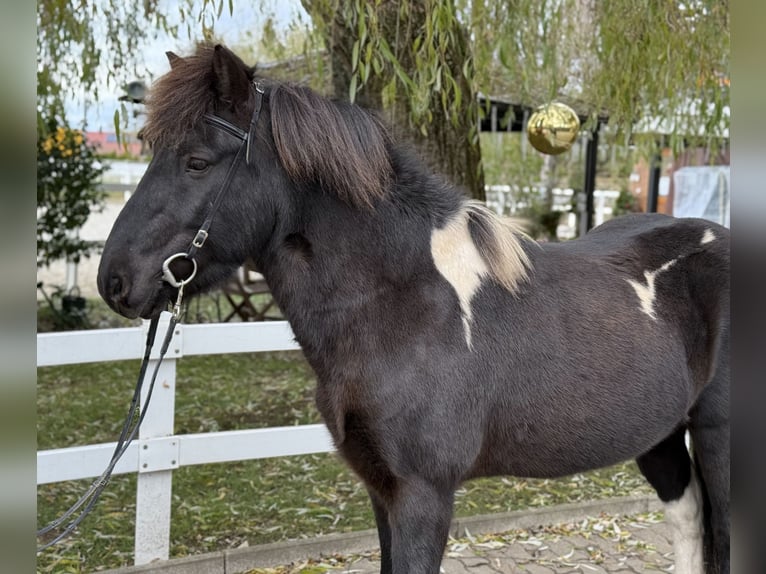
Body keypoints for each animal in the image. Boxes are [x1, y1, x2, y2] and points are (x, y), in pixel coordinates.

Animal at [96, 42, 732, 572]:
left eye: (197, 161)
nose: (114, 281)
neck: (406, 306)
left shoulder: (423, 496)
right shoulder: (382, 489)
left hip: (717, 437)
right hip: (659, 435)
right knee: (688, 523)